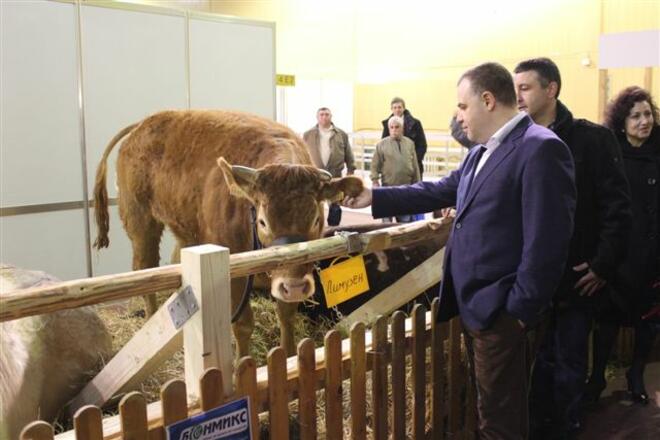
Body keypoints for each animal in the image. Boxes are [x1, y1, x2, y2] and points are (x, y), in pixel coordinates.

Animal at [93, 110, 360, 358]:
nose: (294, 287)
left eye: (316, 219)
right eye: (263, 222)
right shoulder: (234, 276)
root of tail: (143, 124)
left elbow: (286, 315)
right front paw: (243, 363)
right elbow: (243, 324)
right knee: (144, 265)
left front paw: (292, 356)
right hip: (140, 219)